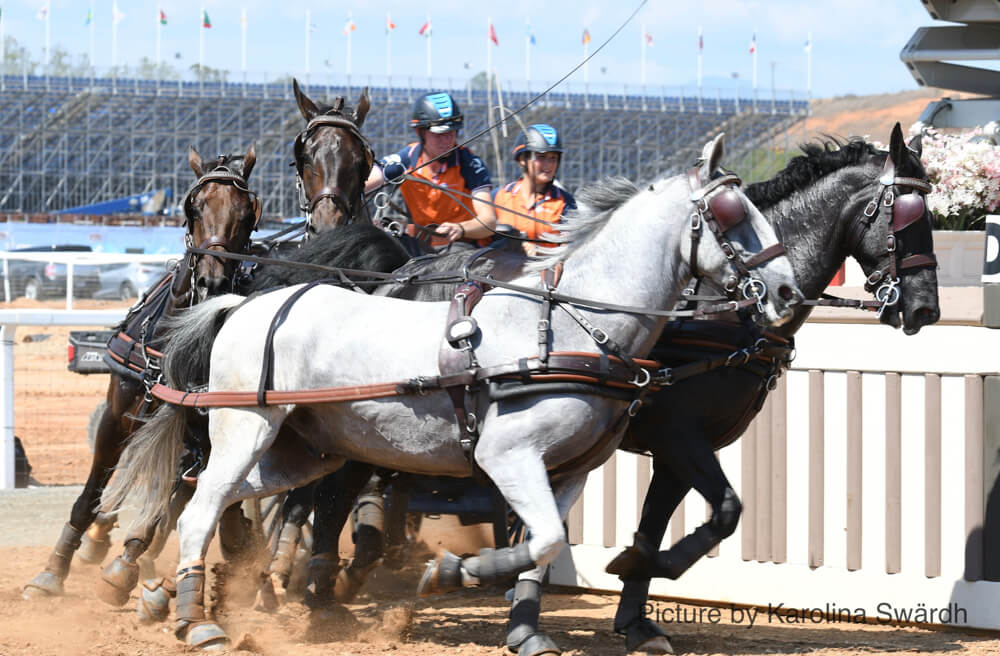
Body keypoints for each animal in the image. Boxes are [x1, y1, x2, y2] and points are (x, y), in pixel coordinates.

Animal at [25, 146, 264, 604]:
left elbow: (169, 506)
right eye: (195, 207)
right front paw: (52, 572)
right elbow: (90, 496)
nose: (211, 280)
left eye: (247, 212)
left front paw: (125, 566)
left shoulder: (197, 432)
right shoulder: (117, 418)